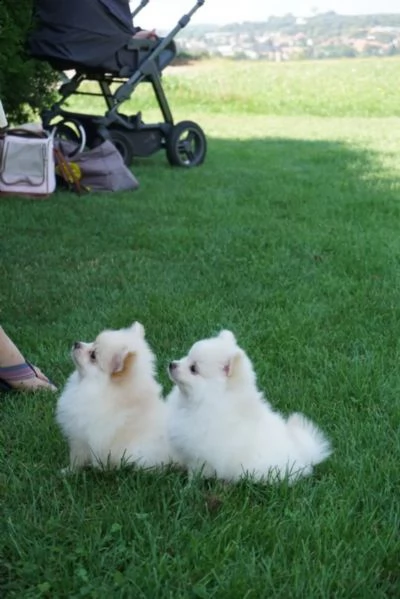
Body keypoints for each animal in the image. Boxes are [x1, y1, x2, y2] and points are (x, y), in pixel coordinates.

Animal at [56, 324, 173, 474]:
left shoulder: (82, 436)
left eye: (93, 355)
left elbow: (78, 458)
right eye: (92, 342)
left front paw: (69, 472)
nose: (76, 343)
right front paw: (67, 470)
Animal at [166, 330, 332, 486]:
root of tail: (303, 455)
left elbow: (195, 474)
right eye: (186, 357)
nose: (172, 364)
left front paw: (187, 487)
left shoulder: (200, 455)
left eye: (193, 368)